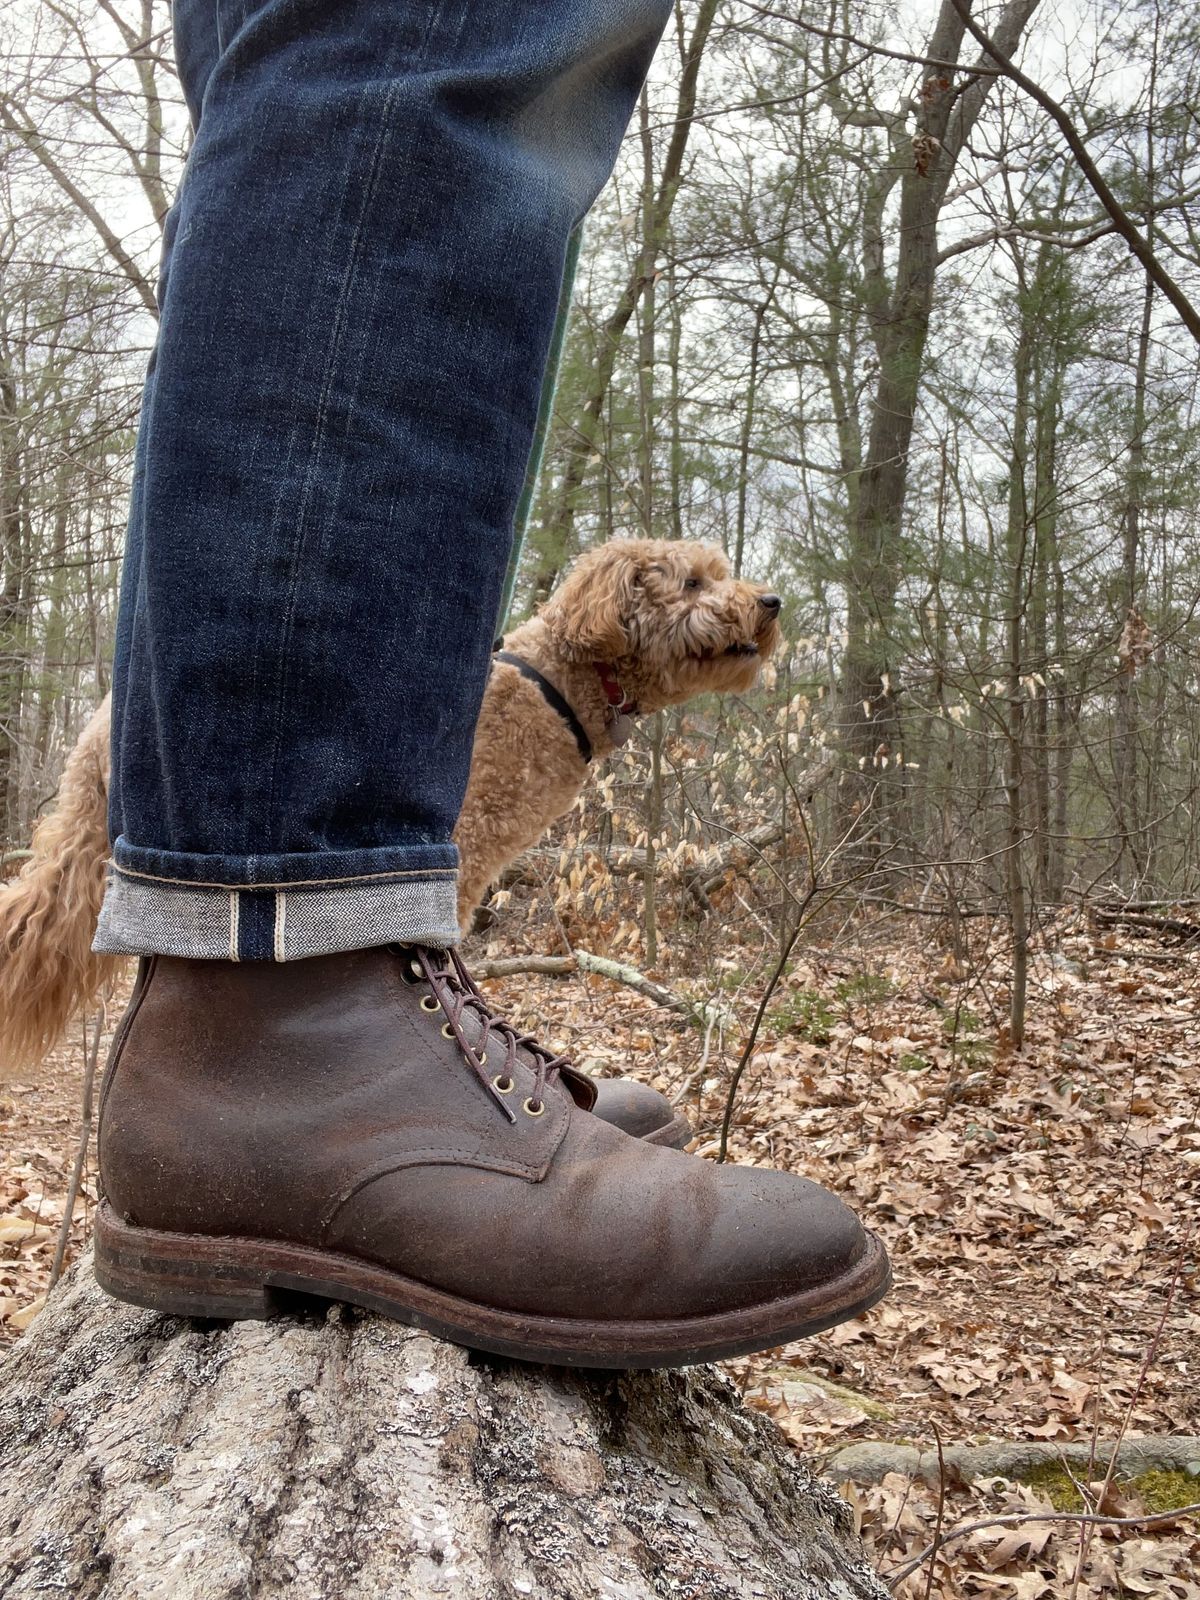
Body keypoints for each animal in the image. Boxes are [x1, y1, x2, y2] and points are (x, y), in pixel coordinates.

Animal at [0, 537, 780, 1075]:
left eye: (719, 572)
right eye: (694, 581)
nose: (771, 602)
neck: (563, 675)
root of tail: (102, 716)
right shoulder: (467, 842)